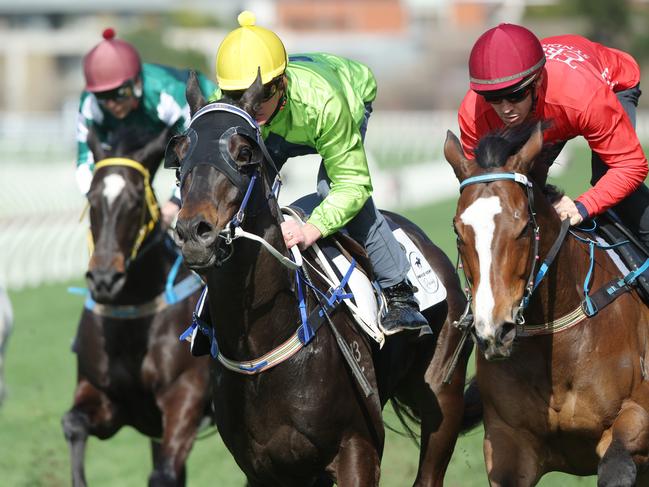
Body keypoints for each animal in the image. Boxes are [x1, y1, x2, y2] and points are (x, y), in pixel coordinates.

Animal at [61, 124, 210, 486]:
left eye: (134, 202)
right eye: (91, 199)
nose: (104, 280)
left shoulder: (186, 397)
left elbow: (164, 473)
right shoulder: (108, 401)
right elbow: (73, 424)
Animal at [167, 73, 476, 487]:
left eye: (245, 153)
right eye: (180, 154)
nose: (193, 232)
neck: (263, 343)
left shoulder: (357, 451)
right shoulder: (264, 469)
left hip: (444, 393)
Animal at [442, 123, 648, 487]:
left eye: (525, 227)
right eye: (458, 232)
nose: (494, 331)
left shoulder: (636, 417)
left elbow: (617, 467)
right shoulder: (509, 442)